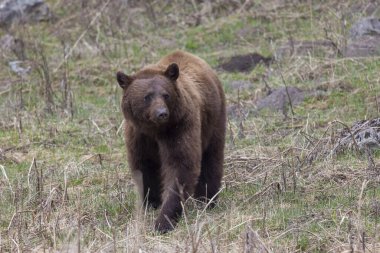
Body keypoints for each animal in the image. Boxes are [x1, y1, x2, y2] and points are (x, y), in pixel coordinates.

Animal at [116, 51, 226, 233]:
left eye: (166, 95)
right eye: (147, 97)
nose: (162, 113)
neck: (155, 130)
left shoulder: (179, 127)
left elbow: (180, 166)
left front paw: (163, 222)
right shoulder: (139, 136)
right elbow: (144, 167)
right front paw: (151, 202)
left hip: (213, 119)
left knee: (212, 157)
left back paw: (207, 199)